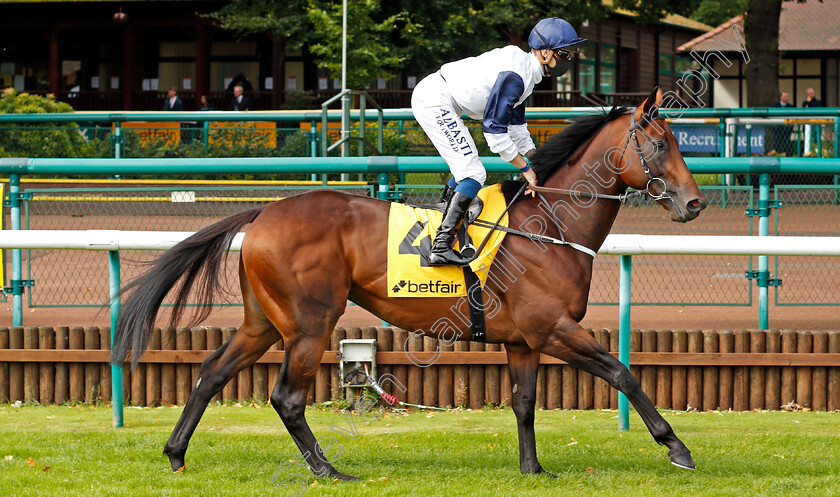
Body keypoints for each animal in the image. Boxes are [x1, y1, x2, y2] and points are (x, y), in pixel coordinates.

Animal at [108, 88, 704, 476]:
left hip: (264, 322)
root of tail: (262, 213)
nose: (695, 204)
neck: (549, 225)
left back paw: (176, 454)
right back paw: (328, 471)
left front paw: (532, 468)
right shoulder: (553, 327)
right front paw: (676, 447)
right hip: (309, 323)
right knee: (287, 397)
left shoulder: (523, 339)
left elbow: (525, 401)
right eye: (660, 145)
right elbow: (622, 374)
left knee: (212, 372)